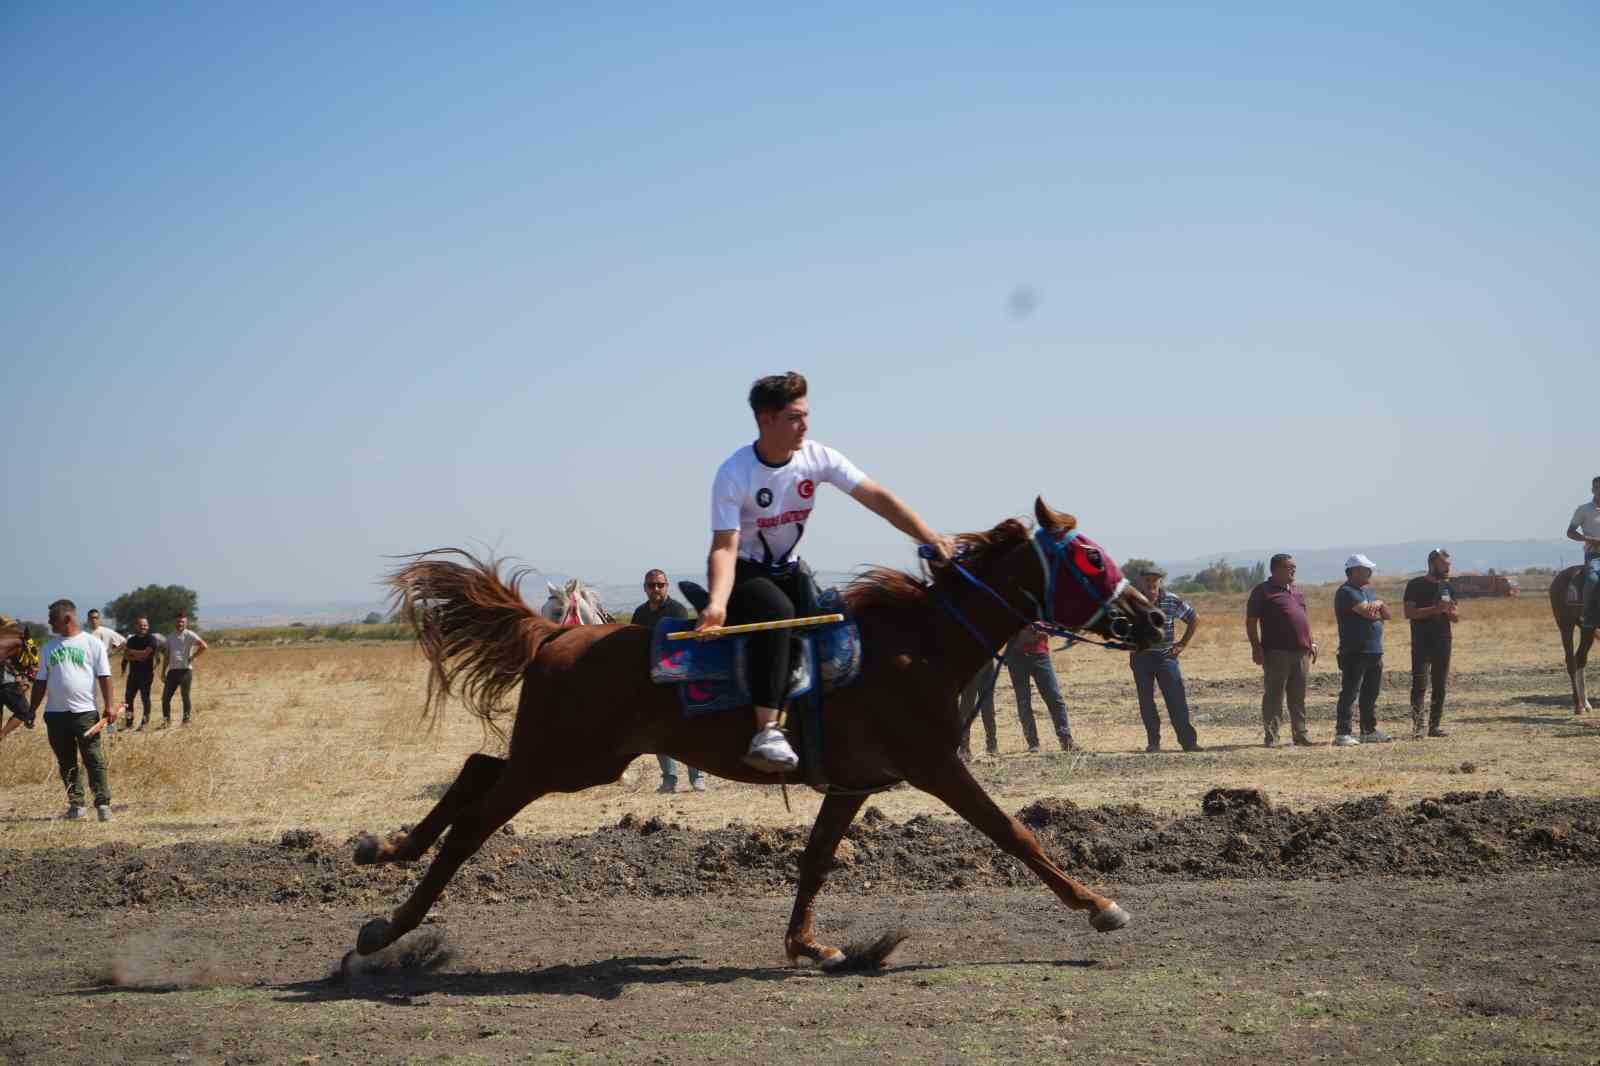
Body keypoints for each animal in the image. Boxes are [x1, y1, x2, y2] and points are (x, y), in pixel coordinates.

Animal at [350, 492, 1171, 966]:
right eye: (1090, 557)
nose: (1155, 620)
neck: (920, 641)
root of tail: (558, 635)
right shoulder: (937, 765)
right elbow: (1016, 834)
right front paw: (1099, 906)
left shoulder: (853, 783)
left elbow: (814, 861)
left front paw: (809, 944)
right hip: (564, 763)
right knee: (475, 819)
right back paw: (388, 926)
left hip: (572, 760)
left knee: (475, 771)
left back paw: (383, 849)